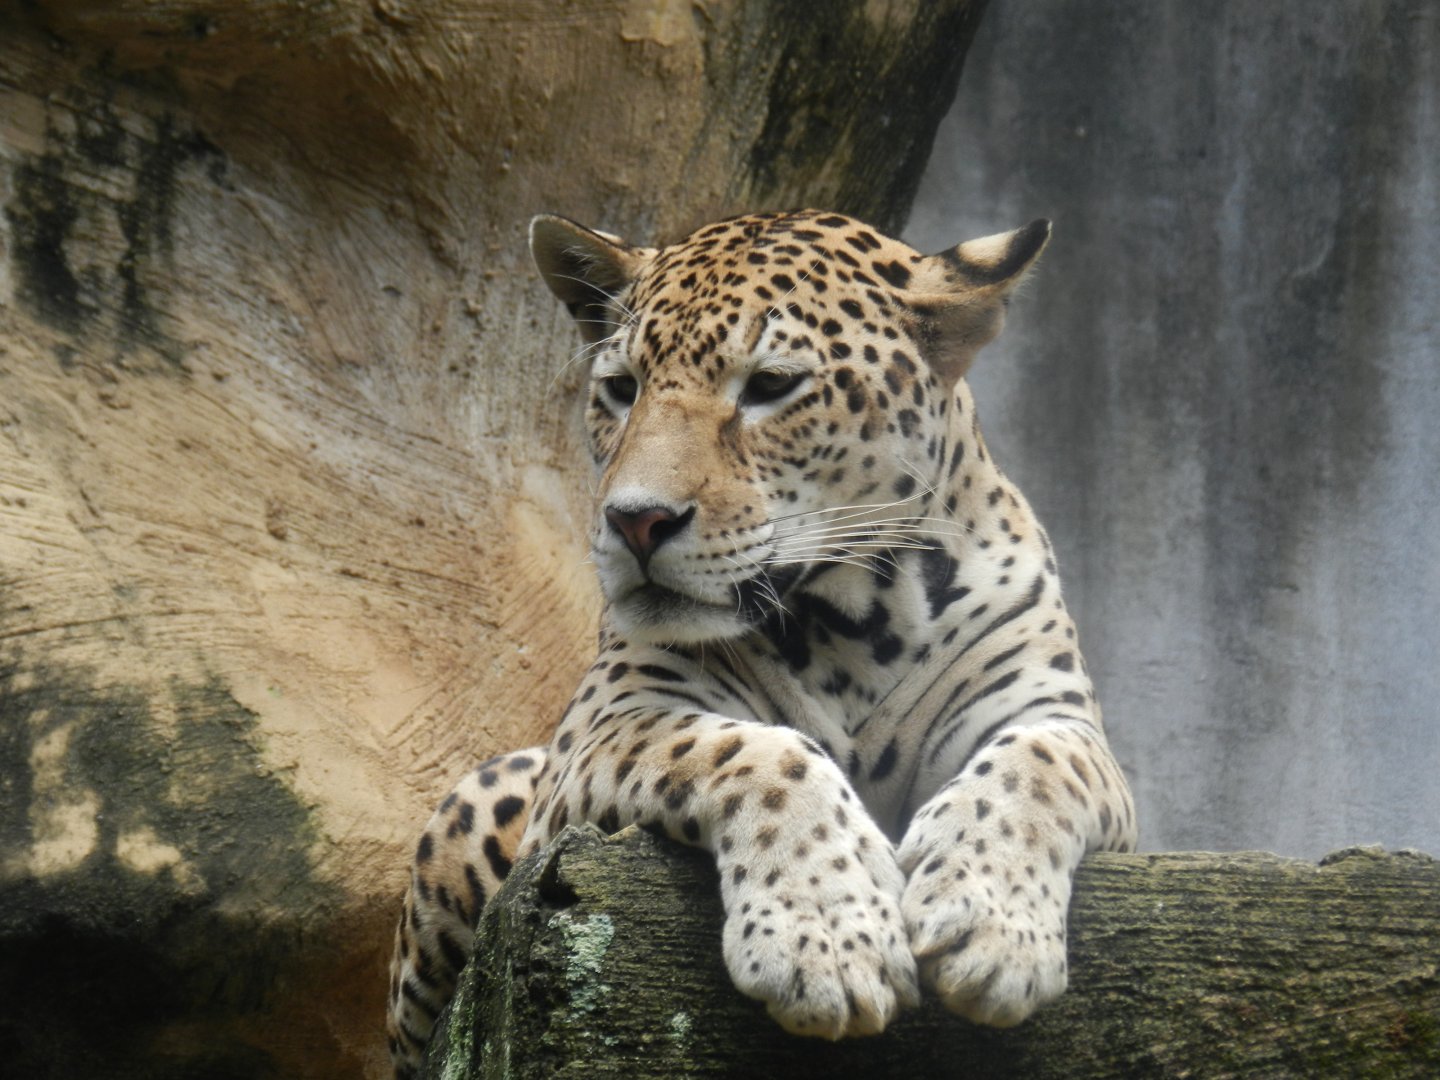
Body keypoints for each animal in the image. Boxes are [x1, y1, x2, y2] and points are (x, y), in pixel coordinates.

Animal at [385, 208, 1137, 1077]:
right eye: (622, 389)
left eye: (772, 387)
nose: (635, 522)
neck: (857, 618)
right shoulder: (609, 724)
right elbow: (760, 751)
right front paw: (829, 938)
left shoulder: (1056, 715)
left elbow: (1034, 769)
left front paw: (989, 926)